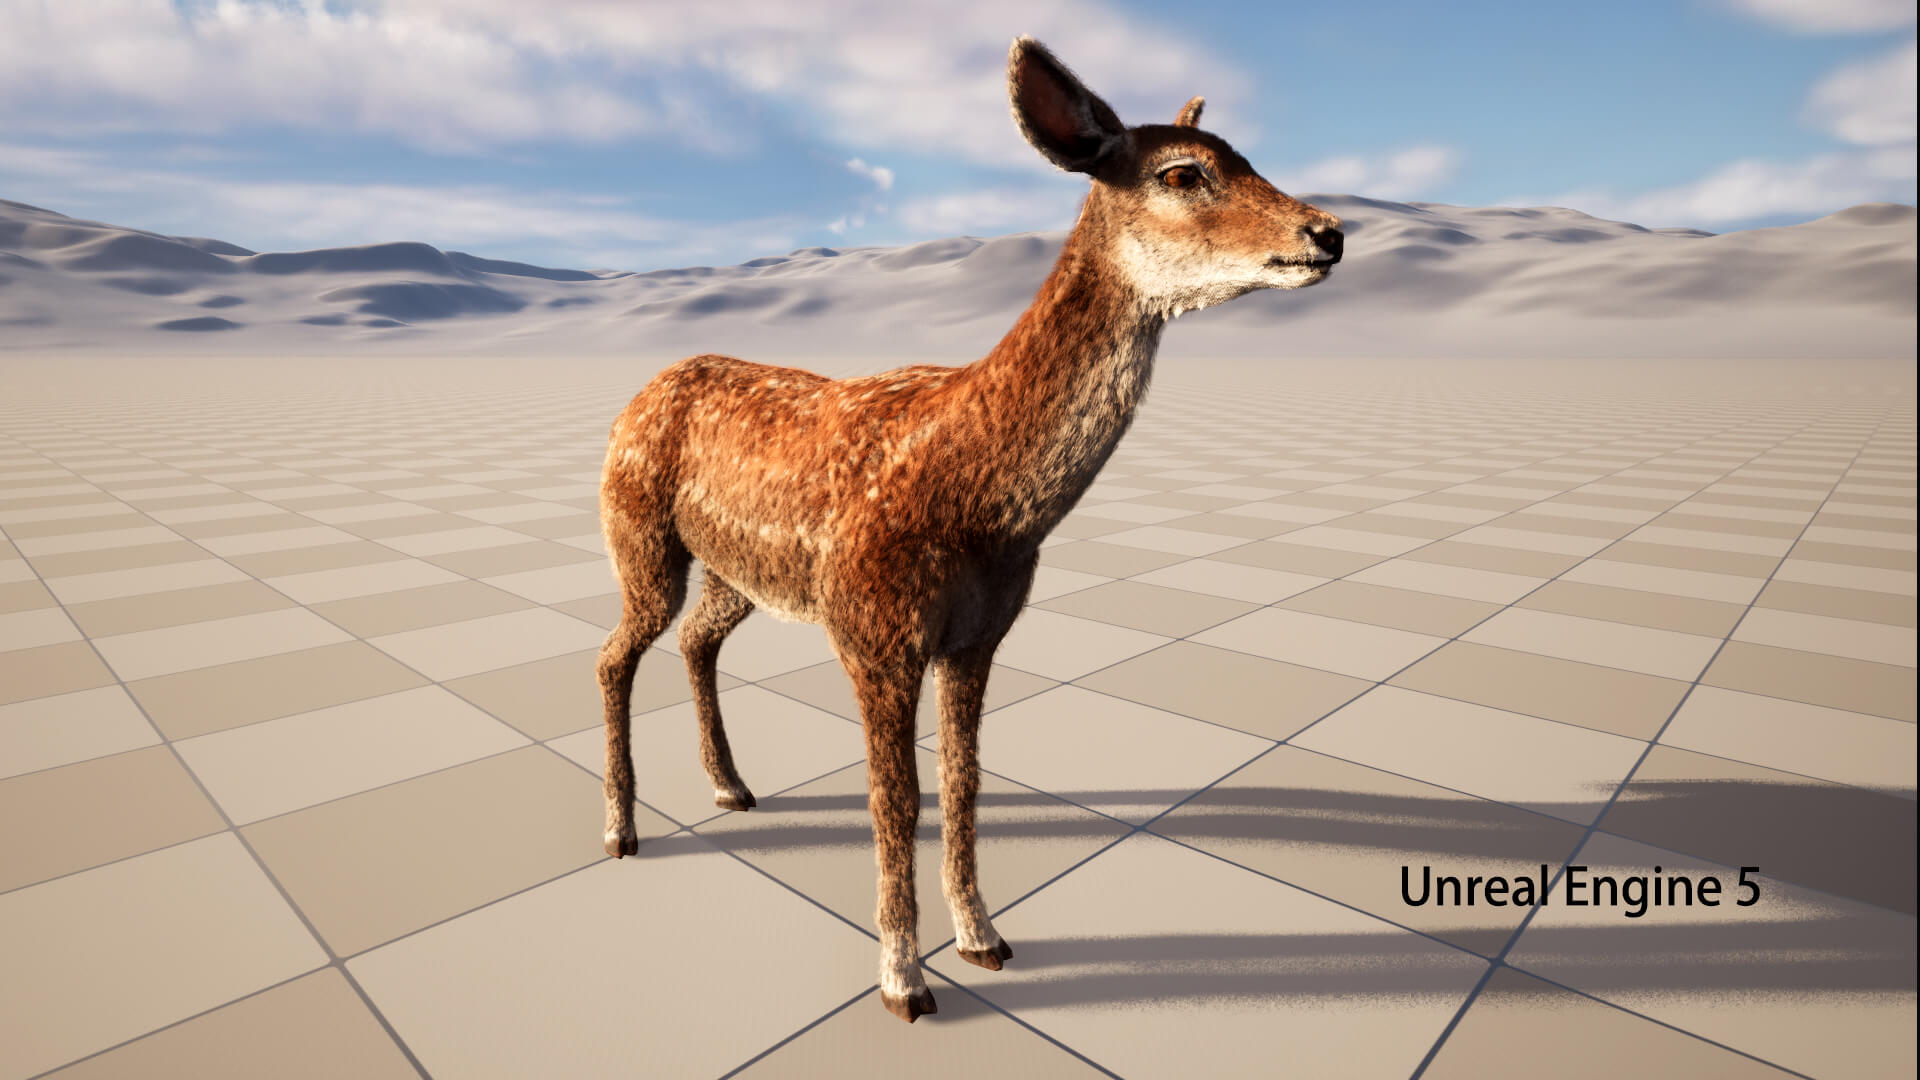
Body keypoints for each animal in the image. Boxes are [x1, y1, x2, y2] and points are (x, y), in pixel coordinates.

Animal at [596, 35, 1342, 1022]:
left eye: (1249, 154)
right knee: (615, 653)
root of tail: (638, 395)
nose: (1328, 232)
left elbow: (964, 783)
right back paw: (621, 832)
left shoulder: (978, 635)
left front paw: (984, 940)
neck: (981, 504)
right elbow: (896, 799)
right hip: (640, 537)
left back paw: (730, 788)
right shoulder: (873, 630)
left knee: (696, 641)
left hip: (737, 572)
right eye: (1185, 172)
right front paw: (903, 982)